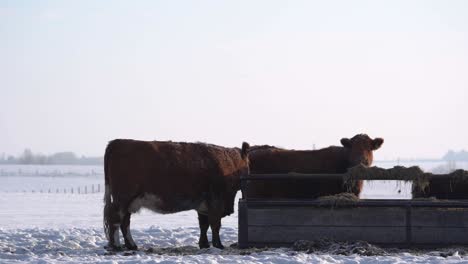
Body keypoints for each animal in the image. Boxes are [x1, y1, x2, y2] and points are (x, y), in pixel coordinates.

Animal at [102, 139, 249, 251]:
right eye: (249, 164)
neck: (229, 163)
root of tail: (116, 142)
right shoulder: (216, 201)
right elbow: (215, 224)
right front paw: (218, 245)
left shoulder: (203, 204)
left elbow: (203, 225)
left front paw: (204, 245)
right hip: (122, 199)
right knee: (115, 219)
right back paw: (117, 246)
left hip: (129, 202)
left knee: (125, 222)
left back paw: (131, 245)